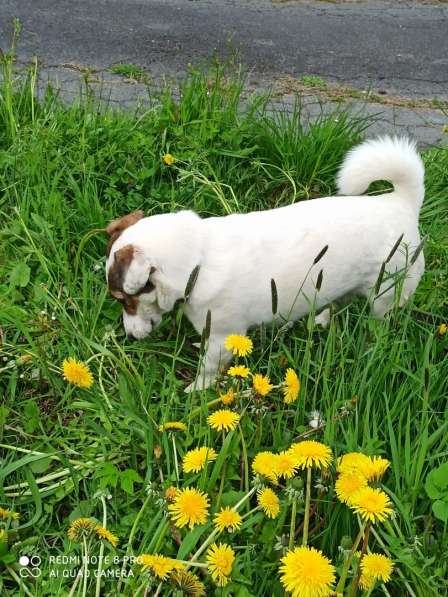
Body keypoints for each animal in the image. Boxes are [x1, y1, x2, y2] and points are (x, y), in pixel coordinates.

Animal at [105, 137, 424, 394]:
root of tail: (401, 202)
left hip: (386, 294)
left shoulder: (222, 337)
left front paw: (196, 389)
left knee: (379, 321)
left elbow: (208, 367)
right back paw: (321, 319)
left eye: (123, 300)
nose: (129, 336)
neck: (199, 260)